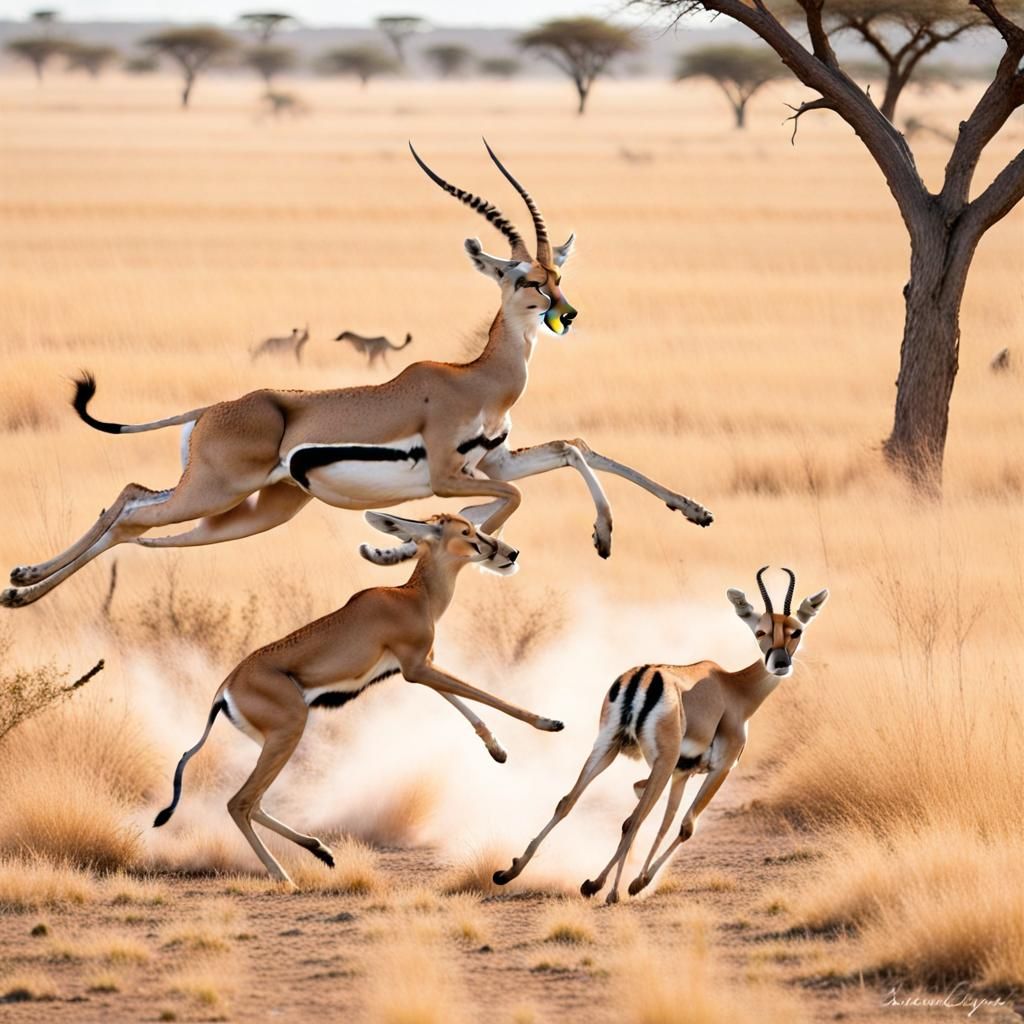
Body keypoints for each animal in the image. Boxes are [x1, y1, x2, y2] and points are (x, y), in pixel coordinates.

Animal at [2, 141, 712, 609]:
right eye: (523, 279)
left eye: (557, 272)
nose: (567, 310)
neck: (477, 378)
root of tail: (212, 409)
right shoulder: (452, 474)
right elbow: (506, 501)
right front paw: (403, 547)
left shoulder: (491, 462)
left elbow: (573, 449)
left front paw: (679, 514)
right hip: (215, 492)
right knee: (130, 513)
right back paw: (24, 592)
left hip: (249, 511)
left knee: (131, 509)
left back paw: (23, 581)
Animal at [153, 511, 564, 886]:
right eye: (467, 532)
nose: (508, 553)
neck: (414, 597)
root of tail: (225, 687)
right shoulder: (417, 668)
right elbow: (486, 694)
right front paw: (549, 723)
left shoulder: (417, 667)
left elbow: (464, 702)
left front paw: (498, 750)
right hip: (289, 731)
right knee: (240, 802)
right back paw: (284, 876)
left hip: (272, 741)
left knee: (255, 802)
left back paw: (321, 851)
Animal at [493, 568, 829, 905]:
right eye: (760, 631)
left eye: (796, 631)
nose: (780, 663)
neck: (735, 690)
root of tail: (643, 676)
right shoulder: (718, 769)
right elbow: (684, 825)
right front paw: (635, 883)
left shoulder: (681, 773)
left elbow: (665, 822)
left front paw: (631, 880)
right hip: (660, 764)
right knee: (633, 819)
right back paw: (604, 889)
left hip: (608, 748)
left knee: (568, 801)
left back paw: (511, 872)